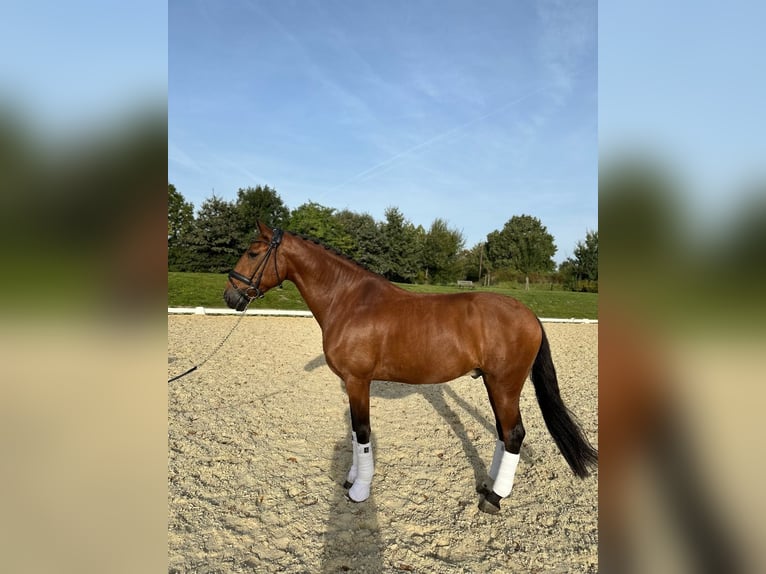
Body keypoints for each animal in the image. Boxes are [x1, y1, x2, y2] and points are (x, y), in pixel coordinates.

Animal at [224, 223, 600, 516]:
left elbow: (362, 433)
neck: (348, 300)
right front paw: (351, 478)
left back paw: (495, 497)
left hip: (505, 384)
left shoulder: (358, 381)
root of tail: (529, 314)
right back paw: (488, 485)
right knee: (503, 433)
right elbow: (353, 432)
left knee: (514, 435)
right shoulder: (353, 384)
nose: (230, 296)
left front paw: (359, 489)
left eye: (253, 253)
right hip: (495, 385)